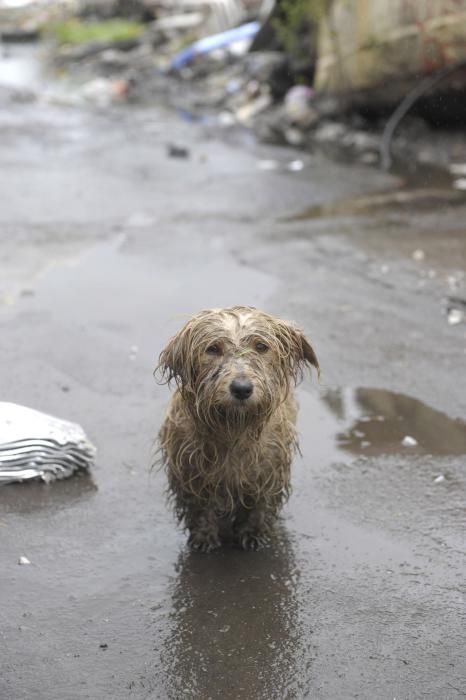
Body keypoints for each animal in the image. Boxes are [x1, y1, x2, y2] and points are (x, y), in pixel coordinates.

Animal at [158, 306, 318, 552]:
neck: (233, 430)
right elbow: (199, 507)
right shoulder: (188, 471)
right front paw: (204, 537)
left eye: (261, 346)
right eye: (213, 348)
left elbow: (258, 506)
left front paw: (253, 534)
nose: (242, 388)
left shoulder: (269, 470)